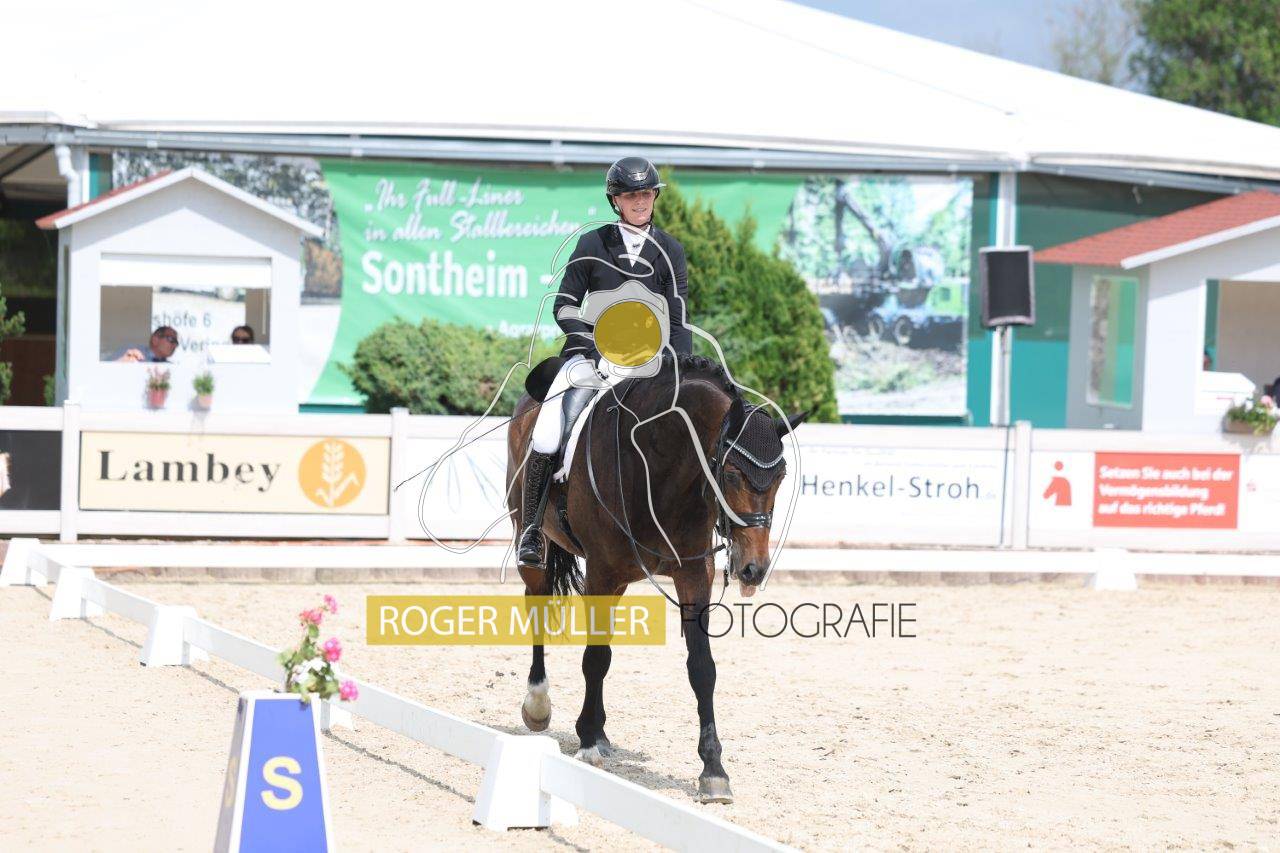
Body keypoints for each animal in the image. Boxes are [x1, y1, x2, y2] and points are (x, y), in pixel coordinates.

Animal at [505, 353, 804, 803]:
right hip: (533, 540)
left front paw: (713, 770)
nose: (753, 569)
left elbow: (702, 668)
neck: (661, 467)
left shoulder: (693, 574)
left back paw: (600, 729)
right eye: (732, 474)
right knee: (538, 607)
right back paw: (540, 706)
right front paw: (587, 742)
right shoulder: (601, 571)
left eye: (782, 478)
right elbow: (596, 658)